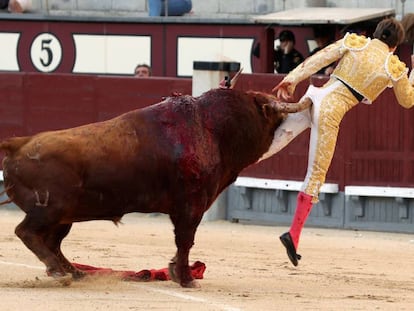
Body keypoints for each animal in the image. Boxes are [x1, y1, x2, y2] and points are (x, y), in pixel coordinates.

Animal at [0, 84, 310, 288]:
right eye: (270, 113)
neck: (214, 129)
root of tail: (18, 143)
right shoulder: (190, 206)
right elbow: (185, 240)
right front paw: (185, 279)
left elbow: (184, 242)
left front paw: (176, 272)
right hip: (51, 209)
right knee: (27, 232)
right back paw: (60, 271)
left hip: (66, 215)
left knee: (52, 241)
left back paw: (73, 272)